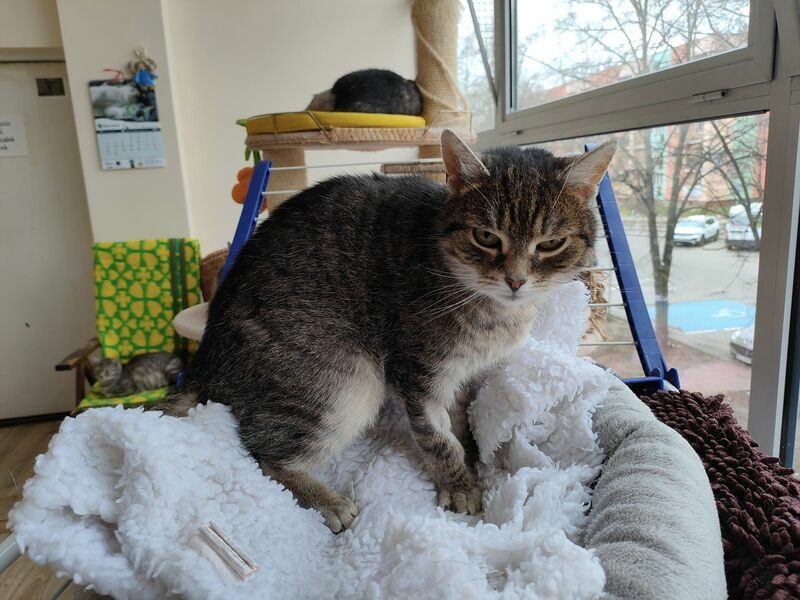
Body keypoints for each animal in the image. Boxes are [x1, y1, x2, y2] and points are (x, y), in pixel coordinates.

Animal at [156, 131, 616, 533]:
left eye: (551, 243)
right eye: (486, 236)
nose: (516, 280)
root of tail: (205, 361)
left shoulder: (464, 375)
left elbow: (461, 421)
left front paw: (472, 458)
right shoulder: (416, 370)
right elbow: (437, 438)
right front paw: (459, 485)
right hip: (343, 380)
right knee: (263, 453)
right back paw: (327, 501)